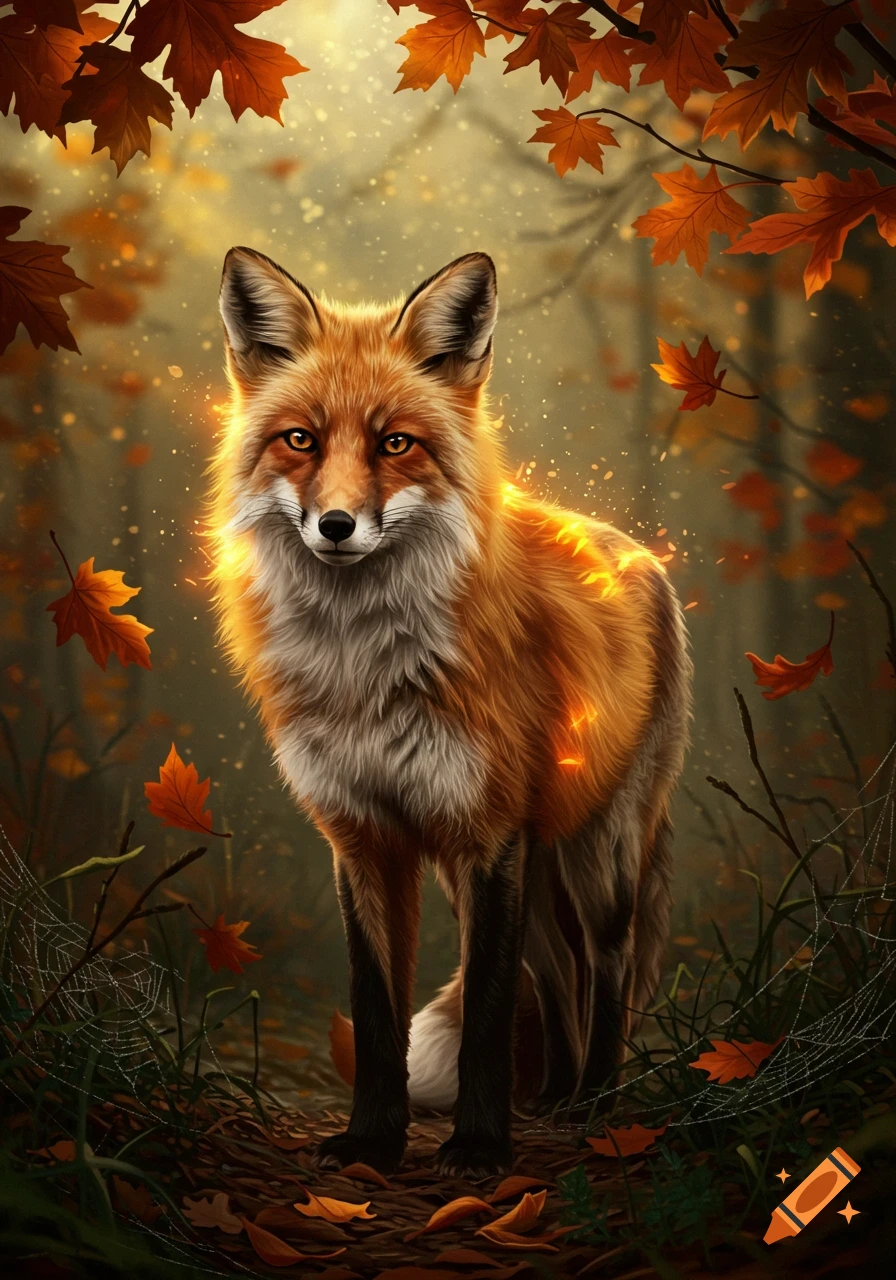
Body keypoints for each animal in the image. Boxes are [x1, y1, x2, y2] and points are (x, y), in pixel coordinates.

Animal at [209, 248, 691, 1179]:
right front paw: (372, 1141)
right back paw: (555, 1100)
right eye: (301, 440)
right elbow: (378, 1009)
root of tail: (642, 554)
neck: (363, 669)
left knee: (606, 971)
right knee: (558, 978)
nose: (335, 525)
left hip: (596, 856)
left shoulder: (485, 835)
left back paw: (596, 1107)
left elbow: (487, 1021)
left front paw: (476, 1147)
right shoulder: (366, 836)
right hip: (530, 878)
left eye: (396, 443)